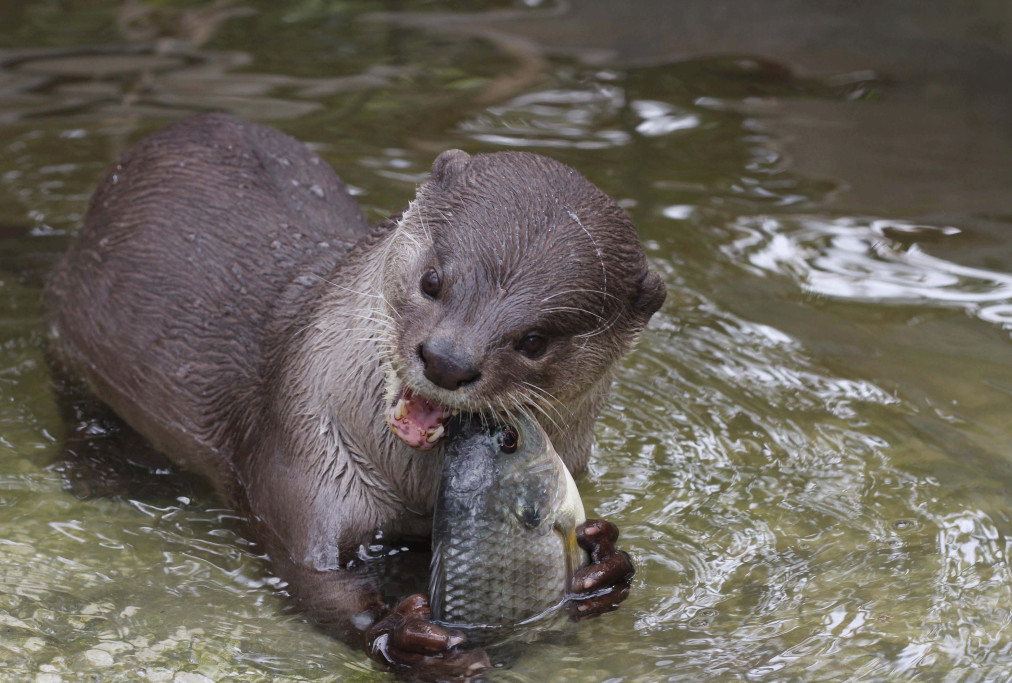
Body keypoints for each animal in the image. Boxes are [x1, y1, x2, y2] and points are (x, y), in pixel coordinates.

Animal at [45, 114, 663, 675]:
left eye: (535, 340)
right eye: (433, 281)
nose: (448, 360)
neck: (410, 489)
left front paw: (605, 565)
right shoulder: (301, 454)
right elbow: (311, 577)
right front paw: (399, 635)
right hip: (70, 335)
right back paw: (97, 469)